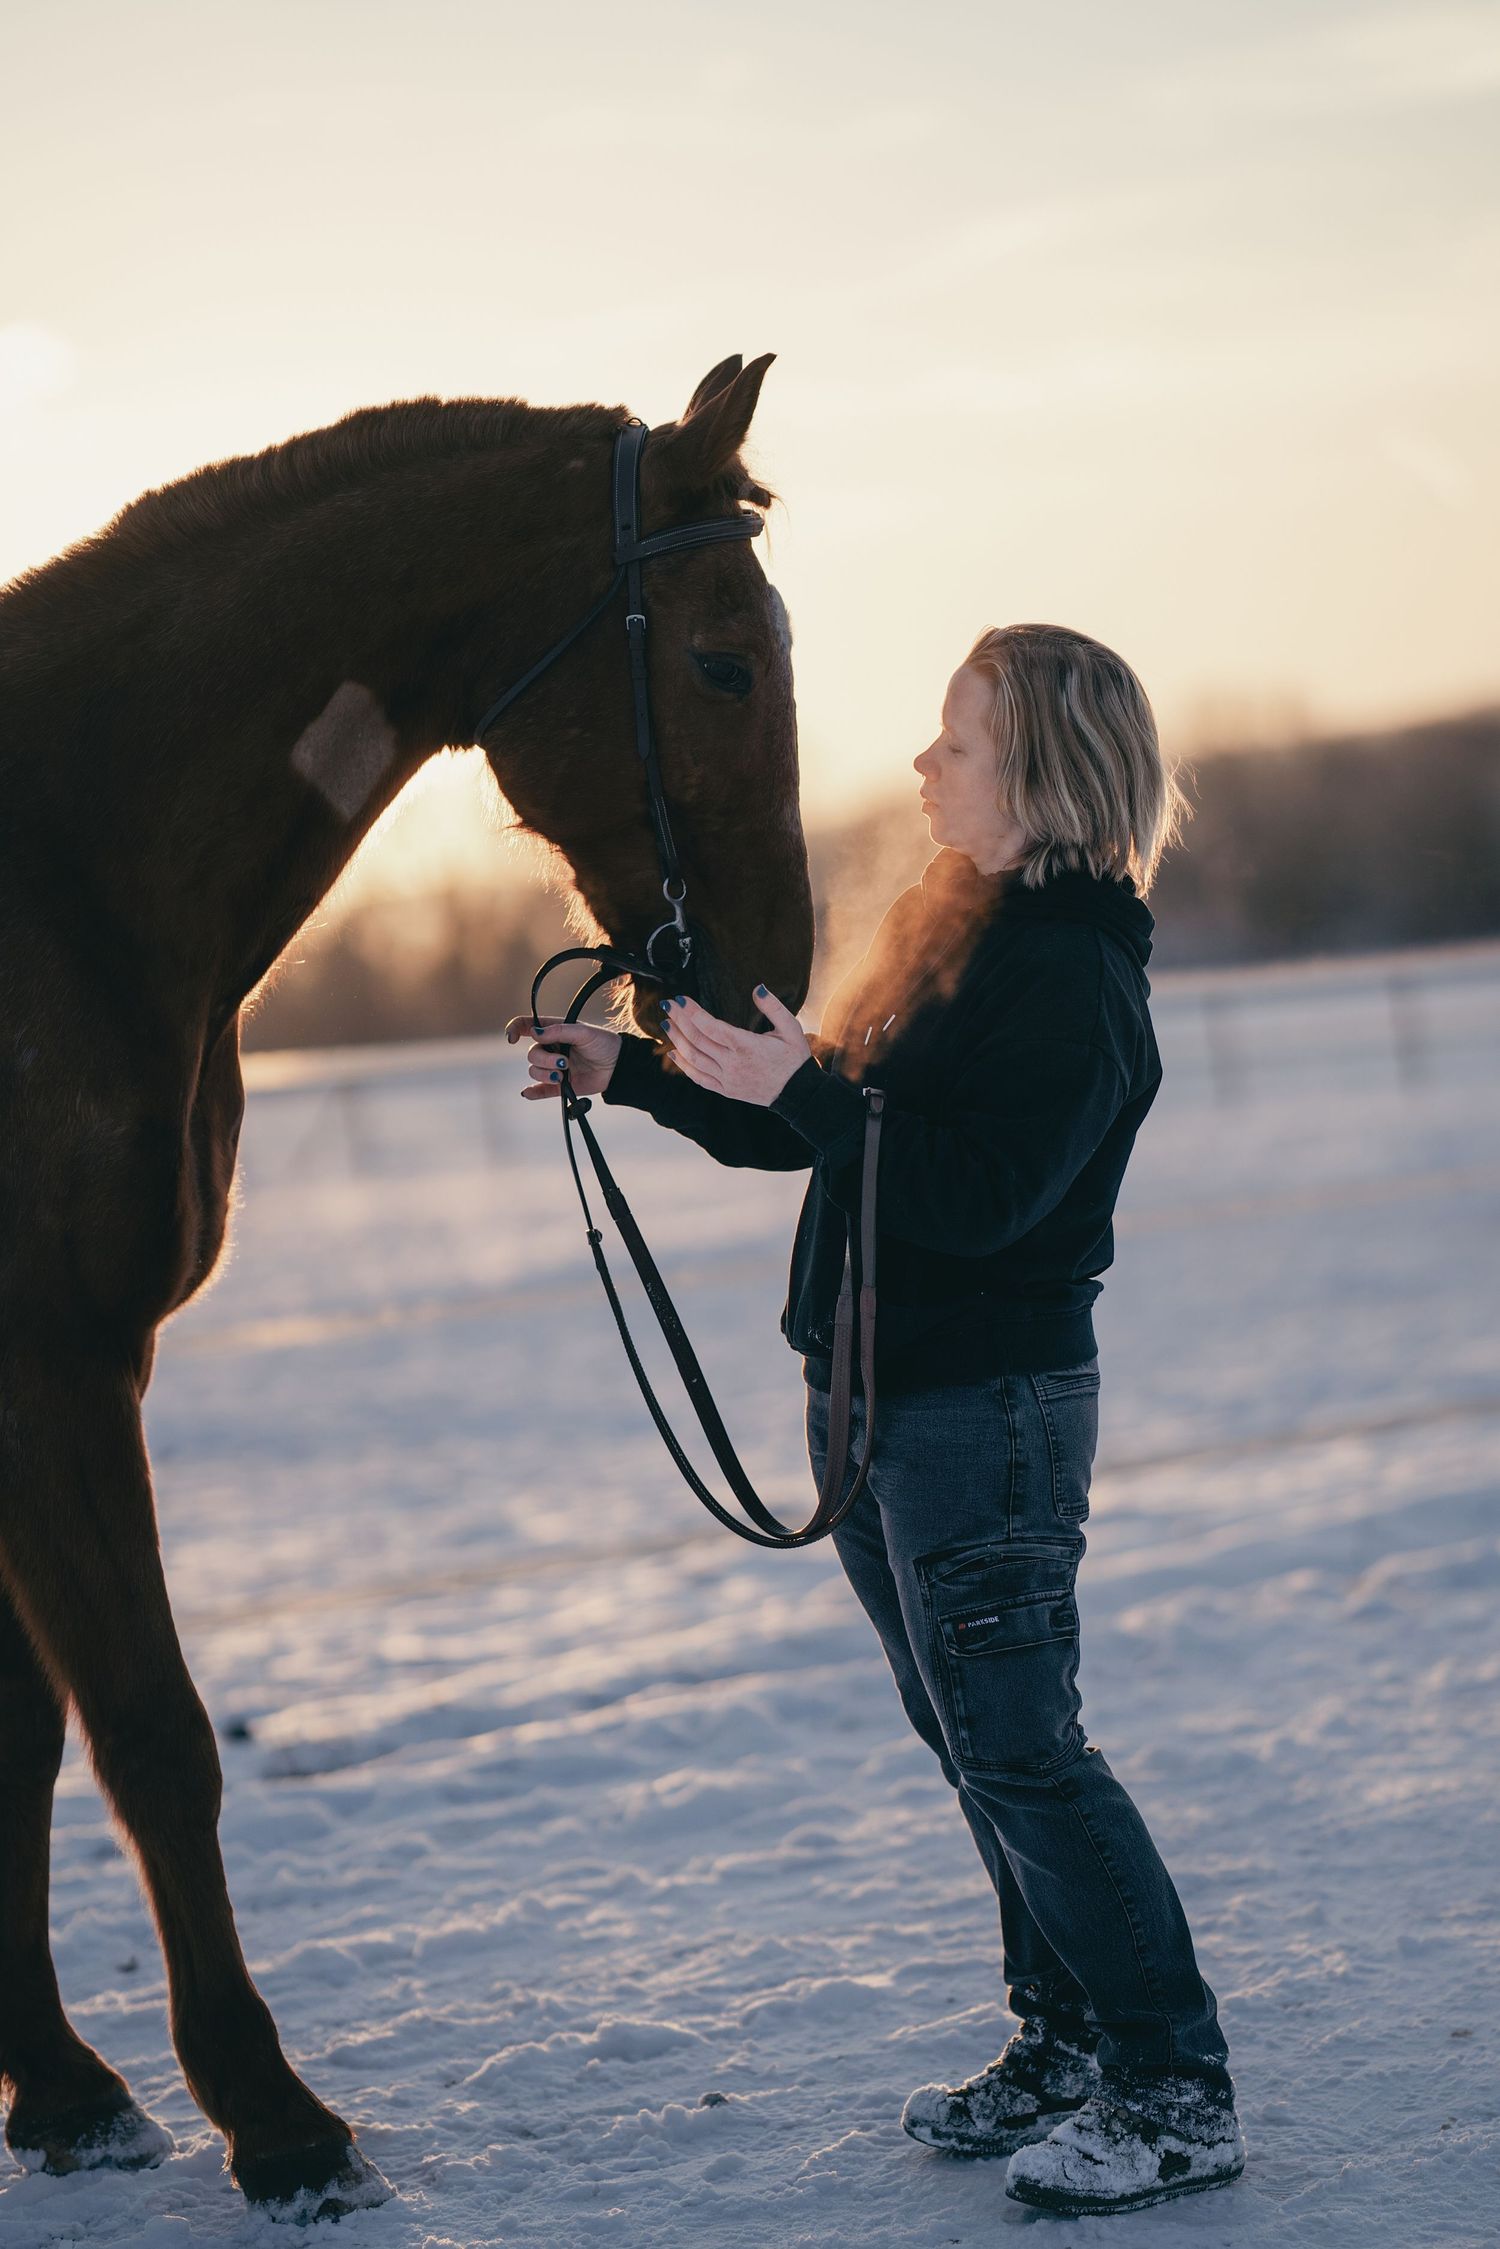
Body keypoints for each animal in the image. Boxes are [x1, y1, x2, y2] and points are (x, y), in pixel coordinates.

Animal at [0, 353, 812, 2217]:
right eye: (724, 660)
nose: (776, 976)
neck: (56, 875)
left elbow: (21, 1739)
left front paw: (63, 2089)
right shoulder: (46, 1366)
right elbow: (147, 1728)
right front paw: (275, 2118)